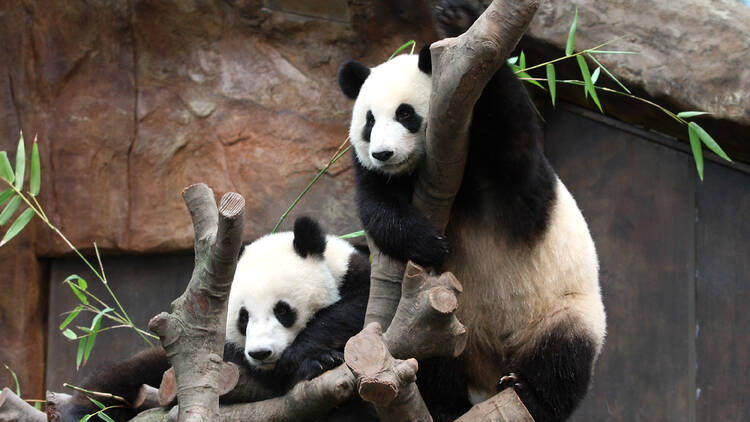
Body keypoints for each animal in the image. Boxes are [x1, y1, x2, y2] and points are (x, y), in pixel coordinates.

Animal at [60, 218, 372, 422]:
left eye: (283, 310)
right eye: (243, 318)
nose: (261, 353)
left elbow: (353, 312)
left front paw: (315, 356)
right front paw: (310, 362)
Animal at [338, 1, 608, 420]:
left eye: (405, 114)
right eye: (369, 121)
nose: (383, 154)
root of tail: (490, 366)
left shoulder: (505, 172)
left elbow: (513, 140)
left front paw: (459, 19)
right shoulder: (375, 176)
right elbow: (377, 209)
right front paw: (429, 243)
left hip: (565, 310)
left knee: (564, 356)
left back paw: (530, 393)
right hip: (444, 326)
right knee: (431, 362)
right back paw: (447, 404)